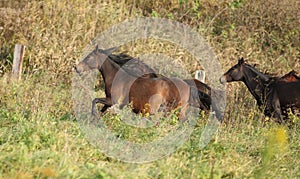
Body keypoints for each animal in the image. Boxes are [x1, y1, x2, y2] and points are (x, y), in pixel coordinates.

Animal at [74, 45, 211, 119]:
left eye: (89, 57)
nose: (76, 68)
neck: (116, 78)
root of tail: (187, 85)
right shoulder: (111, 103)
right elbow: (101, 110)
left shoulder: (112, 101)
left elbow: (95, 100)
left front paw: (93, 115)